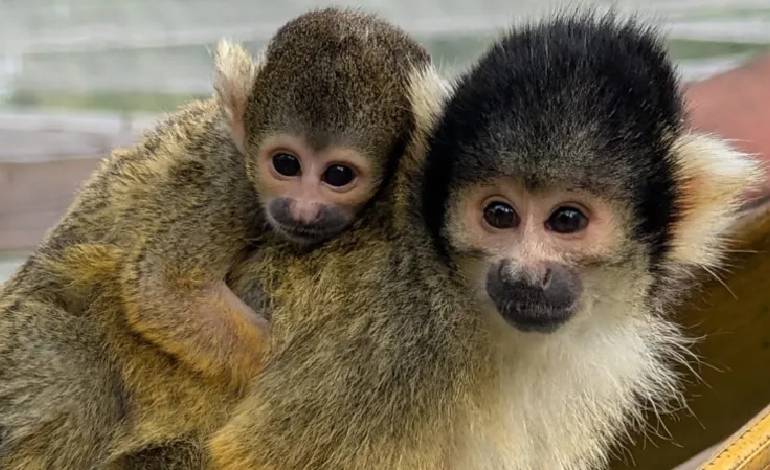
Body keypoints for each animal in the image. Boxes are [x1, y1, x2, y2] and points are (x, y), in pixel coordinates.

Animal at [0, 8, 436, 468]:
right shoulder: (228, 180)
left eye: (338, 175)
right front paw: (273, 368)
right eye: (285, 164)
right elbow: (165, 288)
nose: (301, 210)